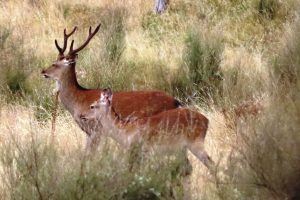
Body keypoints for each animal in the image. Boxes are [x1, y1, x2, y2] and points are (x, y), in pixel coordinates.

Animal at [41, 23, 182, 152]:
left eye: (55, 64)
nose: (43, 71)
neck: (78, 100)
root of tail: (176, 102)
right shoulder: (89, 133)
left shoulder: (96, 130)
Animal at [81, 88, 214, 173]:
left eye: (92, 106)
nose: (82, 115)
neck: (125, 129)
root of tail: (206, 120)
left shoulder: (135, 151)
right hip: (182, 150)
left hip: (196, 146)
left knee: (211, 164)